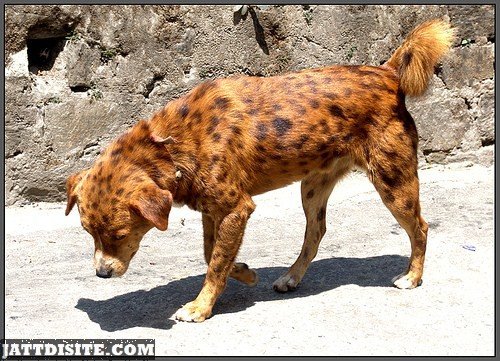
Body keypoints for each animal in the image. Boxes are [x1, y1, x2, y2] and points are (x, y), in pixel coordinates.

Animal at [66, 20, 458, 320]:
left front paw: (200, 307)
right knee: (316, 232)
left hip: (393, 182)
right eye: (88, 232)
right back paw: (292, 277)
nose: (101, 273)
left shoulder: (235, 208)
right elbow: (211, 254)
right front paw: (242, 271)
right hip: (312, 188)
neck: (172, 145)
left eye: (118, 234)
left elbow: (215, 261)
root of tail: (387, 73)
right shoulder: (213, 209)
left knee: (420, 228)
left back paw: (412, 276)